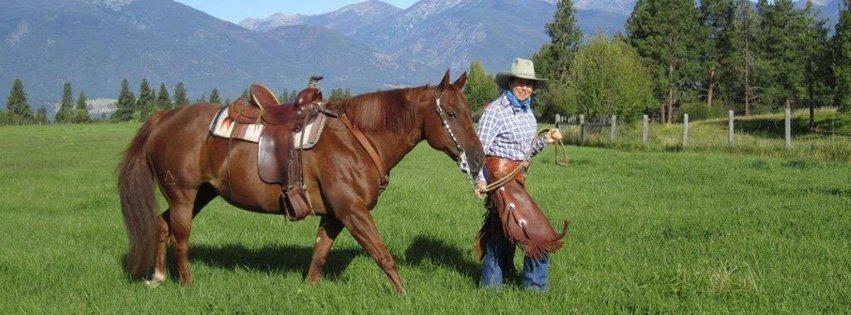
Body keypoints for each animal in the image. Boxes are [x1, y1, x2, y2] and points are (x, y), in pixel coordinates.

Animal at [117, 70, 486, 296]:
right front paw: (403, 294)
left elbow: (320, 253)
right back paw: (186, 284)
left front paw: (306, 289)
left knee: (161, 225)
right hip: (183, 194)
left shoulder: (335, 215)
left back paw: (158, 277)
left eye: (470, 112)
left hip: (201, 194)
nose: (479, 158)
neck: (357, 138)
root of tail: (164, 117)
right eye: (451, 114)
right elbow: (382, 253)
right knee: (180, 238)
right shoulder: (352, 211)